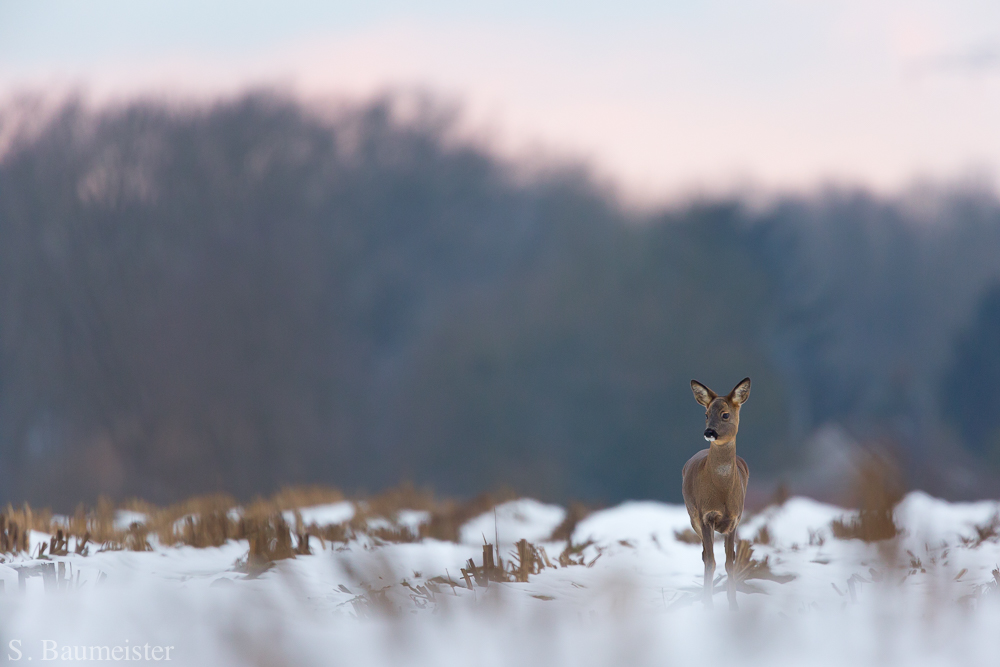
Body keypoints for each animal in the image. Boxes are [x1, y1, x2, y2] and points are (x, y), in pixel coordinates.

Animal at [680, 376, 752, 612]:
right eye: (706, 414)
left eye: (725, 414)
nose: (709, 432)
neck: (722, 493)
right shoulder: (705, 516)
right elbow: (711, 560)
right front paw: (709, 606)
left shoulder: (735, 519)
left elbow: (730, 562)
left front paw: (734, 606)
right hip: (693, 518)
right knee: (704, 555)